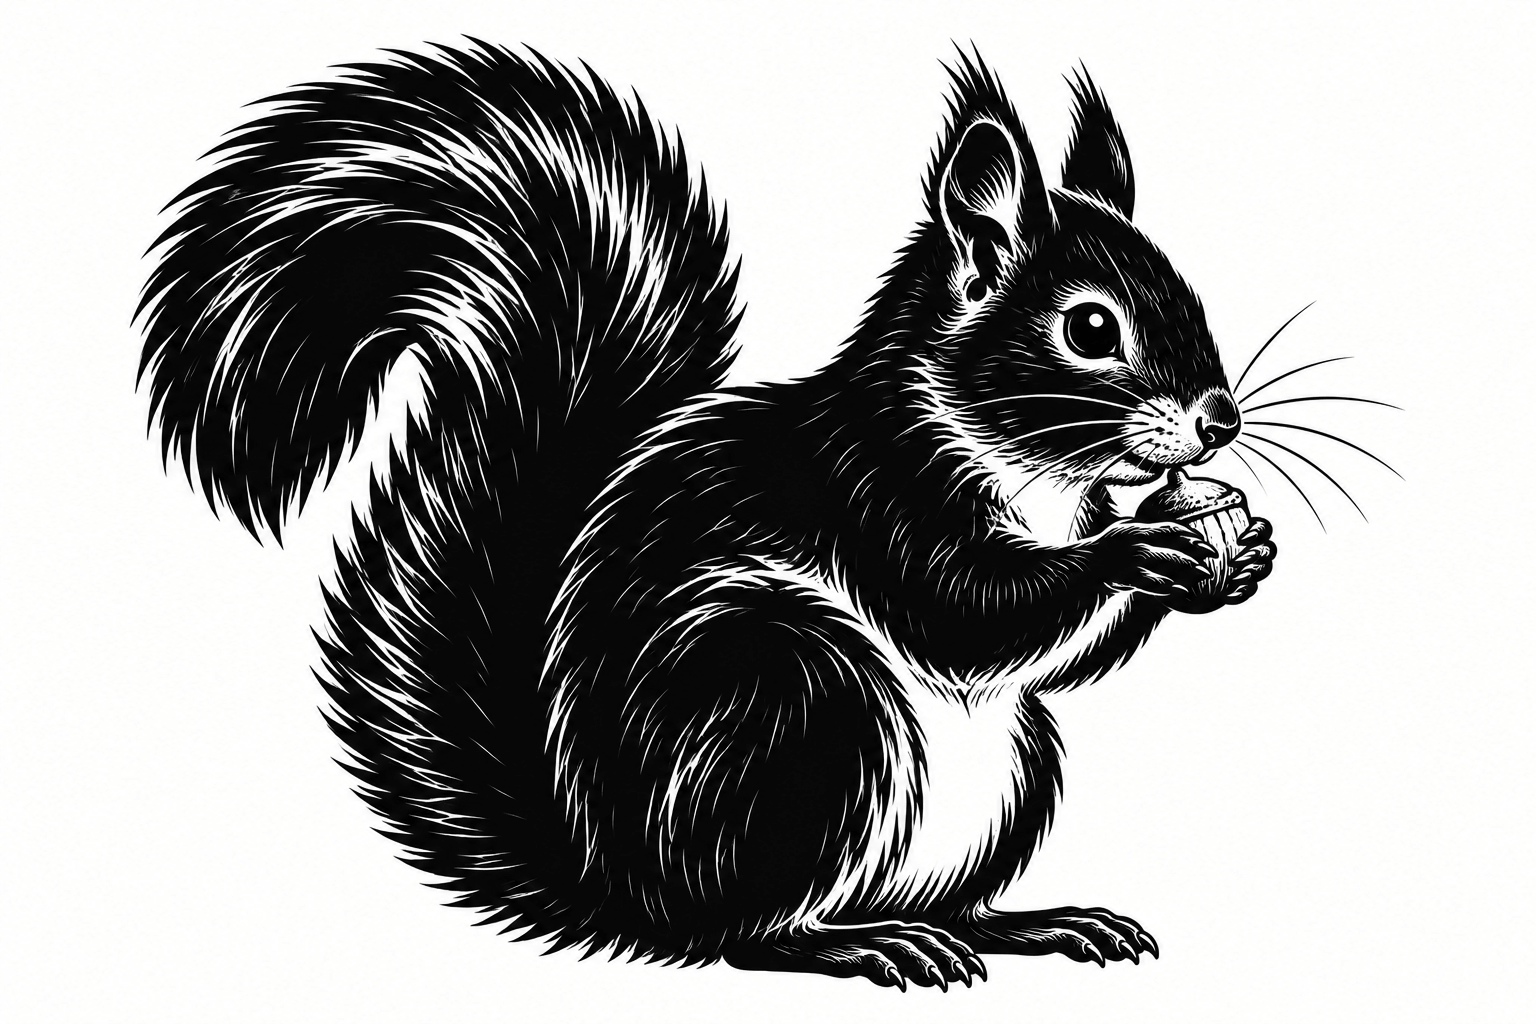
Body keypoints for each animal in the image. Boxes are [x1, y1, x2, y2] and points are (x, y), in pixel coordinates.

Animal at [137, 41, 1276, 989]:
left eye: (1191, 296)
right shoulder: (876, 496)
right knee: (744, 935)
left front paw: (1239, 551)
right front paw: (1142, 548)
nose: (1219, 418)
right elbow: (969, 614)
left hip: (1008, 769)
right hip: (798, 705)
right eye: (1090, 328)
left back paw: (1026, 922)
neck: (1038, 478)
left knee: (934, 897)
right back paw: (863, 943)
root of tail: (623, 889)